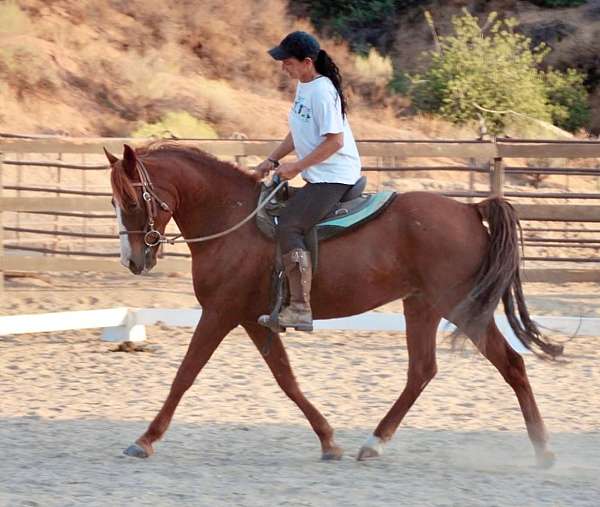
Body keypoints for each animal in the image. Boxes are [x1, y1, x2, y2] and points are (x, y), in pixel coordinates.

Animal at [104, 142, 564, 468]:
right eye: (114, 201)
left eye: (132, 200)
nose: (133, 261)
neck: (231, 220)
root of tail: (470, 210)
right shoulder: (251, 318)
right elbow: (286, 379)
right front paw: (329, 440)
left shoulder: (220, 313)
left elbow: (185, 375)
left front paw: (144, 440)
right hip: (421, 305)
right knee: (422, 371)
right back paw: (374, 444)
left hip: (459, 305)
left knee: (511, 364)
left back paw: (544, 451)